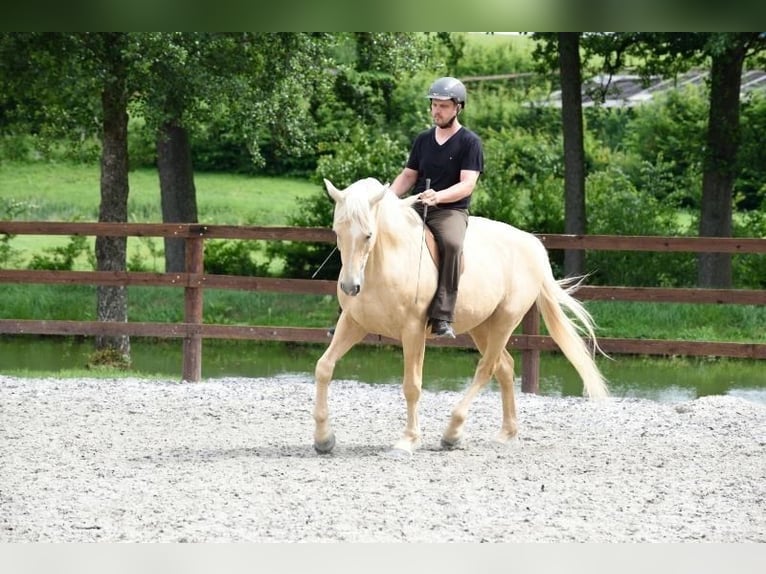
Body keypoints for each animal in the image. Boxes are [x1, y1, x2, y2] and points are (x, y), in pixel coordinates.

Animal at [316, 178, 608, 456]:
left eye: (368, 235)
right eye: (337, 232)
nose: (350, 287)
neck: (386, 260)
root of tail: (533, 244)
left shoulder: (412, 331)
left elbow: (412, 385)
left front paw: (408, 441)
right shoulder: (353, 323)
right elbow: (324, 367)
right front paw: (323, 439)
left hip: (505, 321)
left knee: (487, 368)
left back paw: (452, 432)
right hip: (481, 326)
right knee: (505, 367)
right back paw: (507, 433)